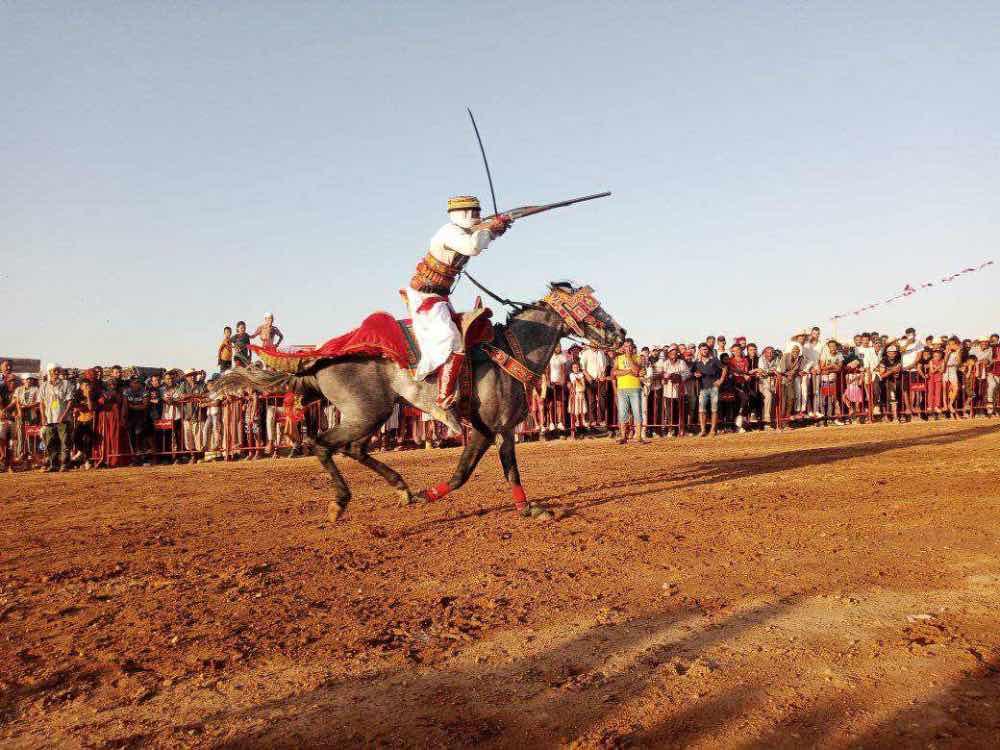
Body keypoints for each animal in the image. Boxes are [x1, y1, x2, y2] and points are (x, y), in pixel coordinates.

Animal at [214, 284, 624, 524]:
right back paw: (341, 502)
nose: (620, 333)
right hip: (366, 413)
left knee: (353, 449)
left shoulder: (492, 431)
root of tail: (317, 361)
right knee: (323, 445)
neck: (511, 351)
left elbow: (483, 472)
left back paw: (402, 489)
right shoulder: (495, 429)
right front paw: (528, 509)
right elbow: (483, 473)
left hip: (374, 413)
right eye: (593, 308)